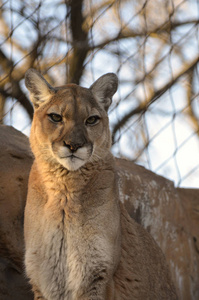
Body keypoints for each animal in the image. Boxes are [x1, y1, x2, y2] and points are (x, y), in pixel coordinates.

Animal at [23, 69, 177, 298]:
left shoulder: (96, 274)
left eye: (92, 120)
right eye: (56, 117)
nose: (74, 145)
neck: (65, 191)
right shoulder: (44, 277)